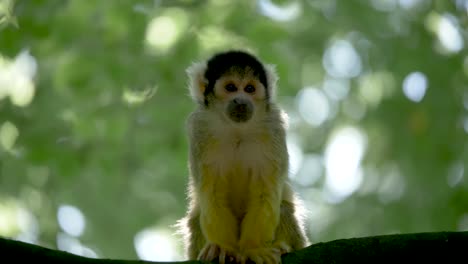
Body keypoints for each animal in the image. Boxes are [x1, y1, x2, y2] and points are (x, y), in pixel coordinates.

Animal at [177, 50, 308, 262]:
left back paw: (282, 247)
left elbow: (264, 192)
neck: (237, 129)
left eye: (249, 89)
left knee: (284, 208)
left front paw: (254, 249)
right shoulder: (200, 129)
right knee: (196, 219)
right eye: (231, 87)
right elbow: (213, 192)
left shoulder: (274, 126)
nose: (241, 101)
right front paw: (222, 248)